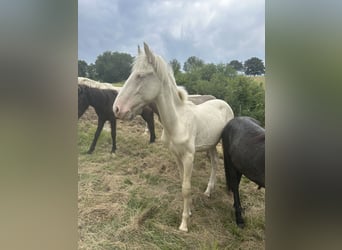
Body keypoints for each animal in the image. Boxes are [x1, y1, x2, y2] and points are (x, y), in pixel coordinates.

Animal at [113, 42, 234, 231]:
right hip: (211, 144)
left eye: (140, 75)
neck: (177, 121)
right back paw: (208, 191)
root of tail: (224, 103)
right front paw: (189, 211)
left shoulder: (189, 157)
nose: (117, 109)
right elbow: (182, 182)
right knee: (214, 161)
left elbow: (186, 187)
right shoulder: (176, 155)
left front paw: (184, 224)